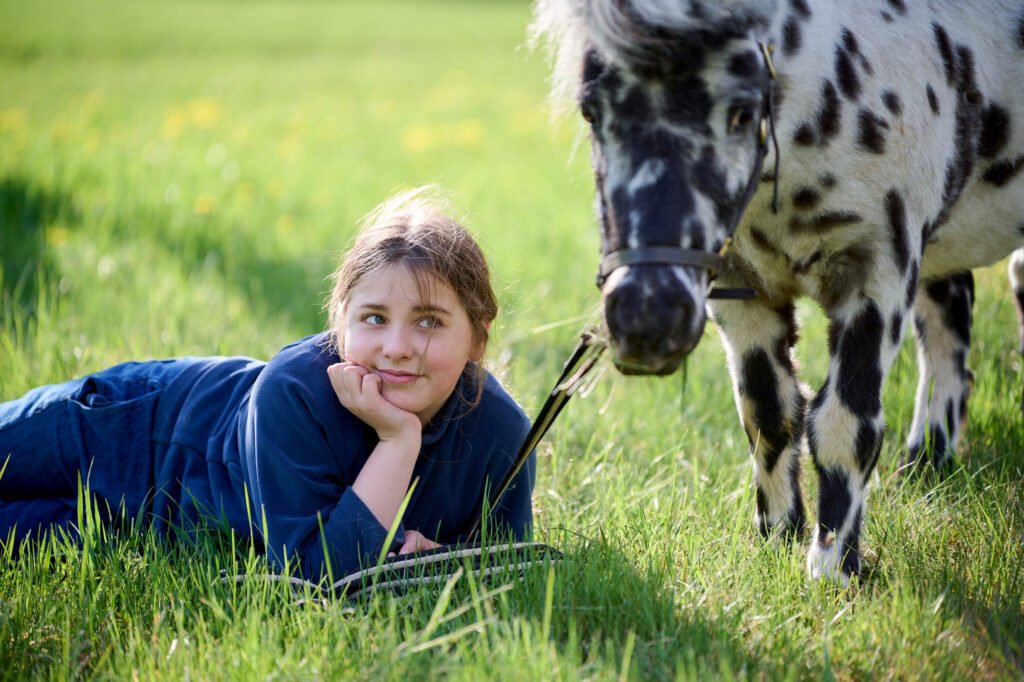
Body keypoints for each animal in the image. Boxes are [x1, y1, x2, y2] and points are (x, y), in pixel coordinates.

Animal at [531, 0, 1024, 583]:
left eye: (743, 112)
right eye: (591, 112)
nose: (647, 319)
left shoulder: (878, 274)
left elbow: (843, 424)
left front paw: (833, 567)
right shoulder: (741, 288)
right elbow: (769, 412)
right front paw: (778, 537)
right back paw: (926, 464)